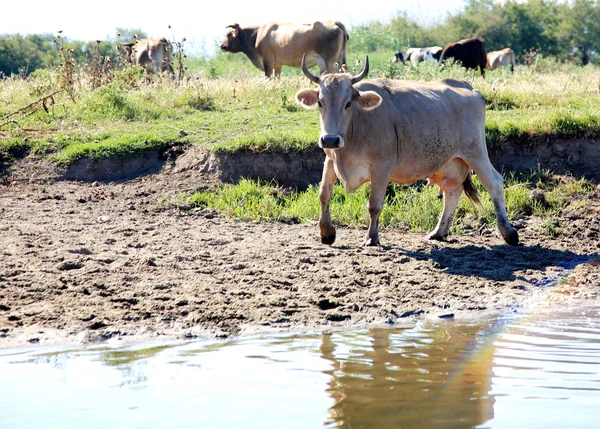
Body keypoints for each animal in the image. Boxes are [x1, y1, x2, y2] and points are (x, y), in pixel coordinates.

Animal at [292, 55, 516, 246]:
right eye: (320, 102)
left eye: (348, 103)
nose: (330, 139)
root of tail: (467, 86)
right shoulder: (330, 159)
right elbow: (324, 194)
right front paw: (326, 233)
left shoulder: (382, 166)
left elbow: (374, 204)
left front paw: (371, 238)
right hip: (449, 161)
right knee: (453, 191)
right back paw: (439, 232)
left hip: (475, 151)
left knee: (495, 183)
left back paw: (509, 232)